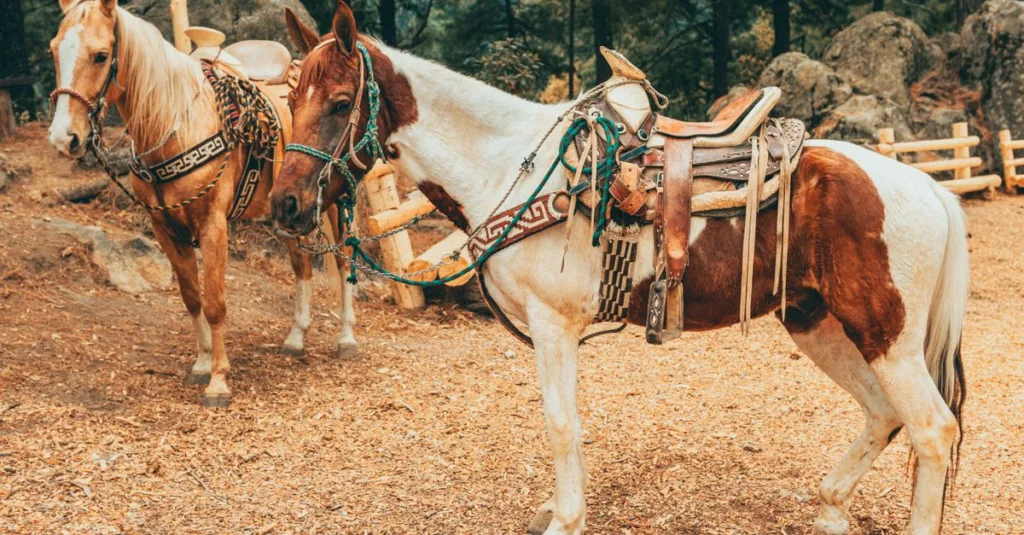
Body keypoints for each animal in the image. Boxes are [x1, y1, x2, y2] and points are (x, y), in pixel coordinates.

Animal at [46, 0, 361, 407]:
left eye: (101, 55)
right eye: (54, 50)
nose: (63, 138)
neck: (176, 125)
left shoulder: (213, 225)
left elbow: (214, 302)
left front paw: (219, 380)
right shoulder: (165, 229)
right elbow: (191, 297)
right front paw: (201, 364)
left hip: (337, 203)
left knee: (344, 261)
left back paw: (346, 339)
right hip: (288, 211)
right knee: (301, 265)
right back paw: (295, 339)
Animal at [271, 2, 968, 533]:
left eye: (340, 102)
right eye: (291, 97)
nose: (286, 204)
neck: (508, 164)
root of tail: (929, 186)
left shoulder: (552, 326)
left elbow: (560, 424)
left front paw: (565, 519)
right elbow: (566, 423)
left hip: (886, 335)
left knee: (933, 429)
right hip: (817, 323)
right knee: (884, 415)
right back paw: (829, 508)